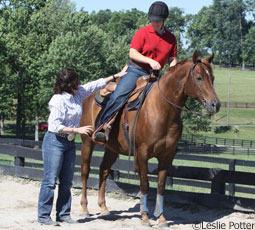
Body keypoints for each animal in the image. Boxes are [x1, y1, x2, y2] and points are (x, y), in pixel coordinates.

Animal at [79, 50, 221, 226]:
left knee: (103, 170)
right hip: (87, 141)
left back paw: (104, 208)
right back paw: (84, 208)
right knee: (85, 171)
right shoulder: (142, 153)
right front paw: (145, 217)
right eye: (199, 77)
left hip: (112, 148)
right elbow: (145, 184)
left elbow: (160, 186)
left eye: (212, 78)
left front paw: (161, 218)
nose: (215, 104)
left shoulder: (167, 155)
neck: (162, 110)